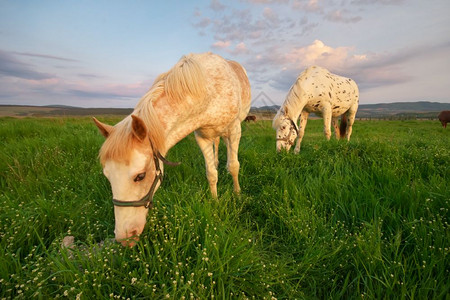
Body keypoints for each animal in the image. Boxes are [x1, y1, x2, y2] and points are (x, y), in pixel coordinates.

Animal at [93, 52, 251, 246]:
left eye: (140, 176)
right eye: (107, 176)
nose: (125, 238)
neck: (209, 92)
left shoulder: (235, 130)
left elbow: (234, 166)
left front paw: (237, 195)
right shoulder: (202, 136)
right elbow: (211, 174)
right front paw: (215, 202)